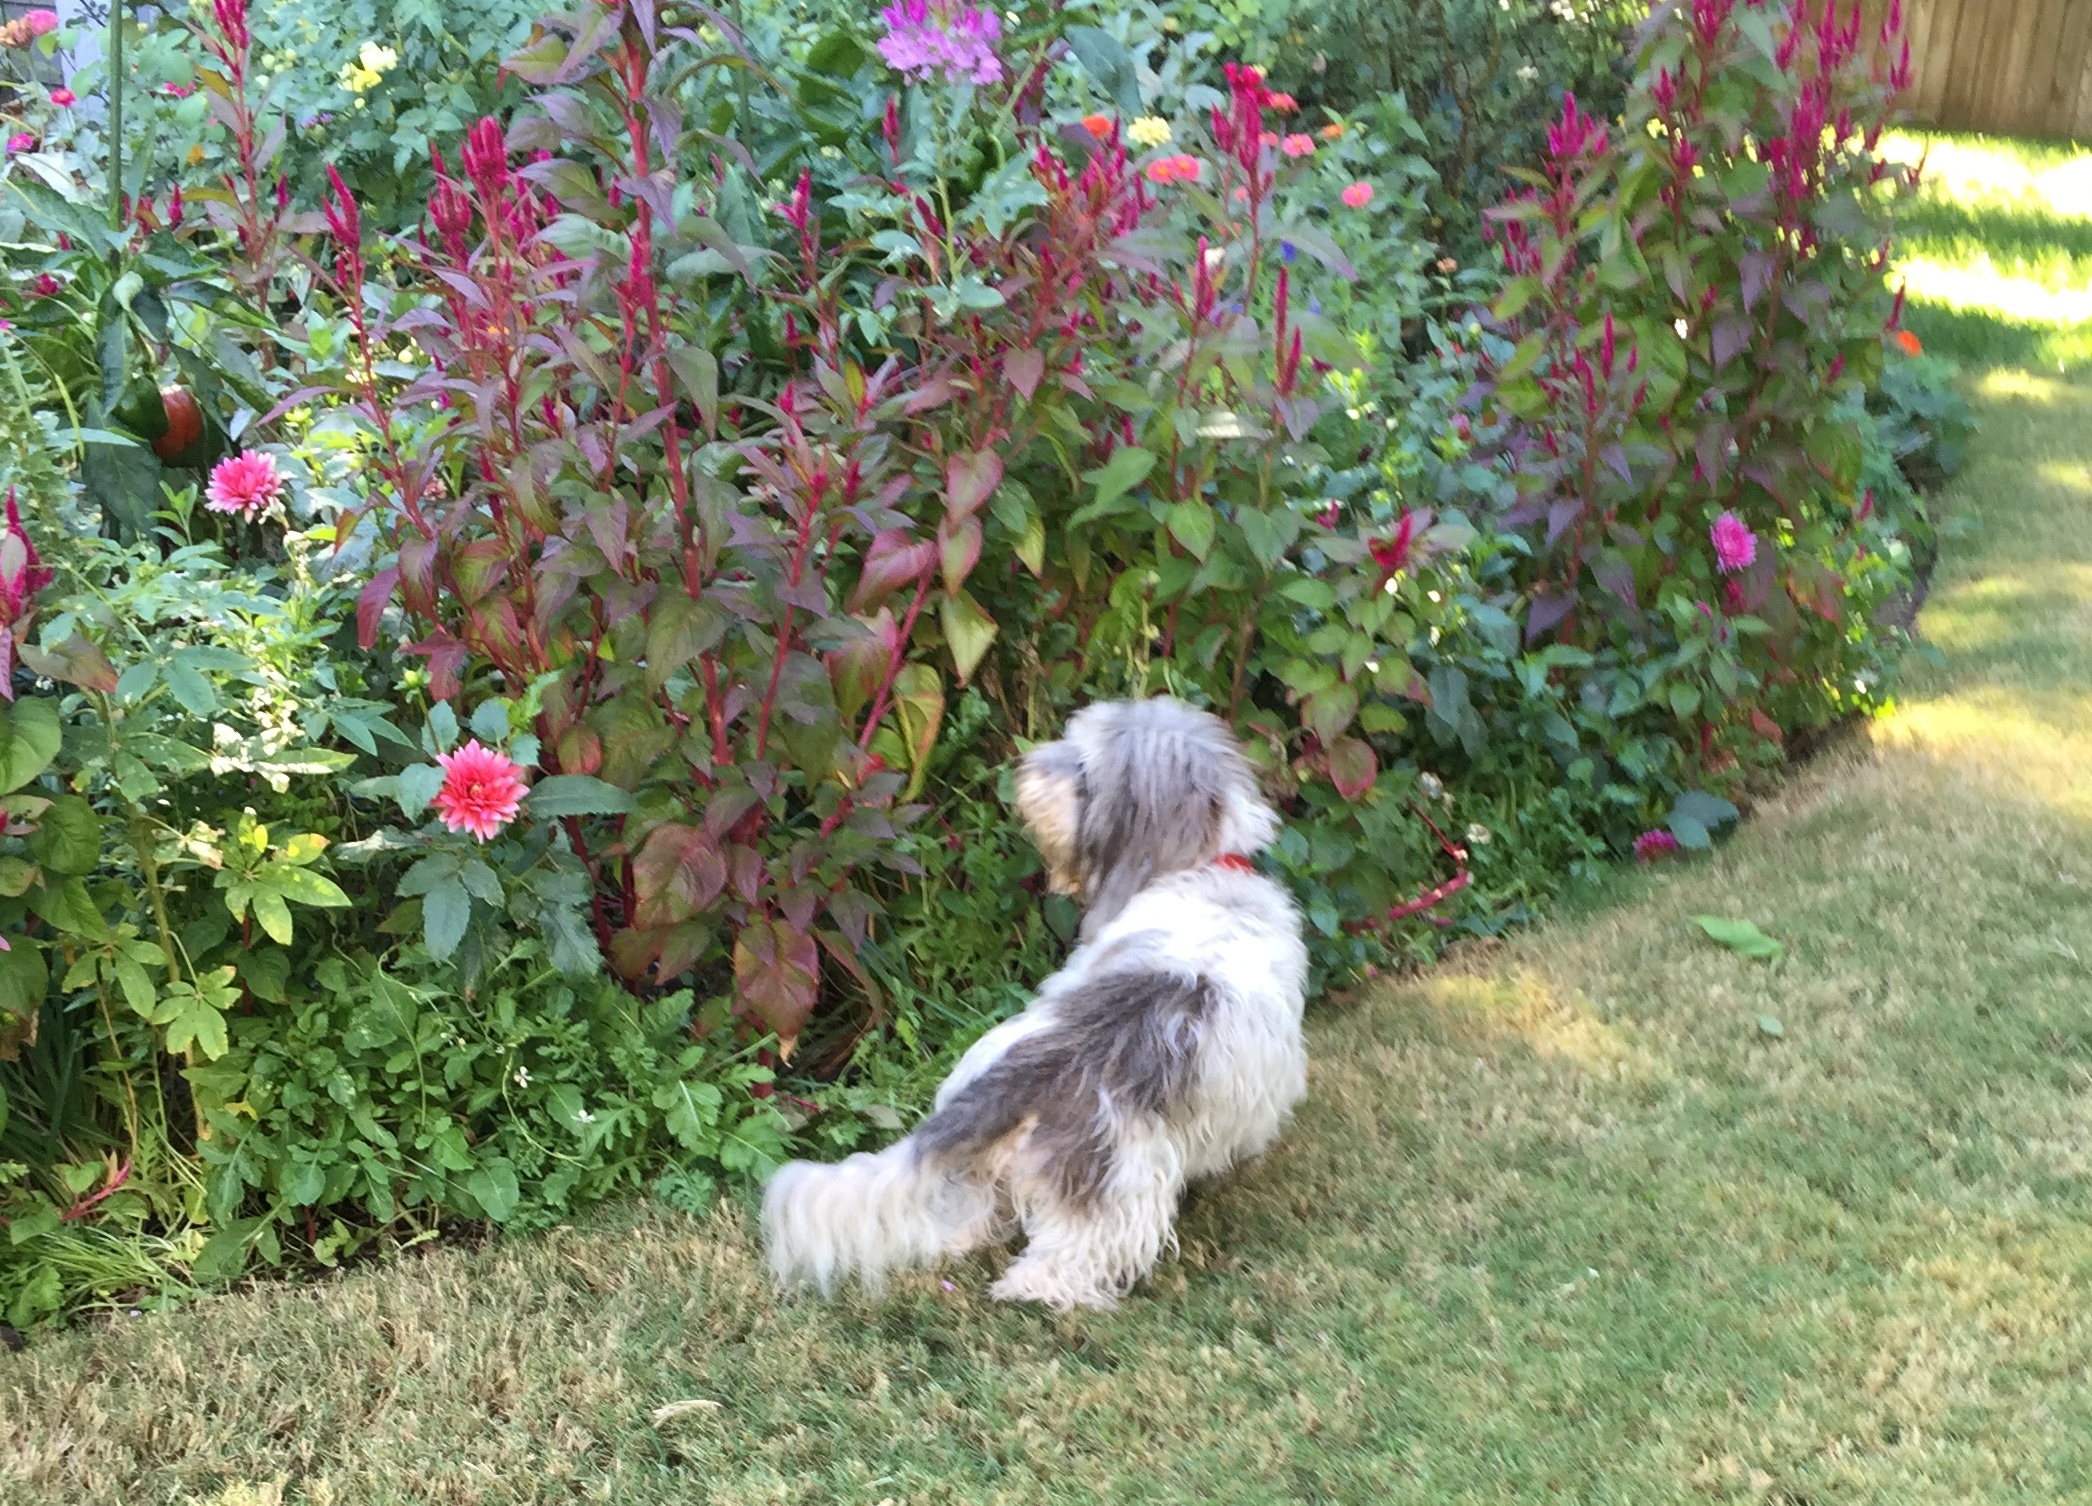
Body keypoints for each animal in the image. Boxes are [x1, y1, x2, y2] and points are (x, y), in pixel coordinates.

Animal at [761, 695, 1308, 1311]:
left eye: (1086, 767)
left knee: (972, 1212)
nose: (1023, 769)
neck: (1207, 870)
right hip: (1116, 1181)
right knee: (1071, 1251)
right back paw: (1038, 1288)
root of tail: (1032, 1068)